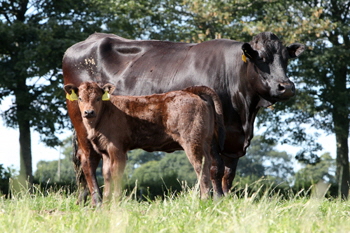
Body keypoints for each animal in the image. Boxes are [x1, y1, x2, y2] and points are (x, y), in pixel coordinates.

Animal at [64, 82, 226, 204]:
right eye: (80, 98)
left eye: (98, 98)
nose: (89, 112)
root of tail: (189, 91)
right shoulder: (105, 152)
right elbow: (107, 175)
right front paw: (105, 205)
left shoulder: (117, 149)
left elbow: (116, 174)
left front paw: (115, 204)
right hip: (204, 141)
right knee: (209, 164)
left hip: (192, 141)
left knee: (200, 167)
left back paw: (204, 200)